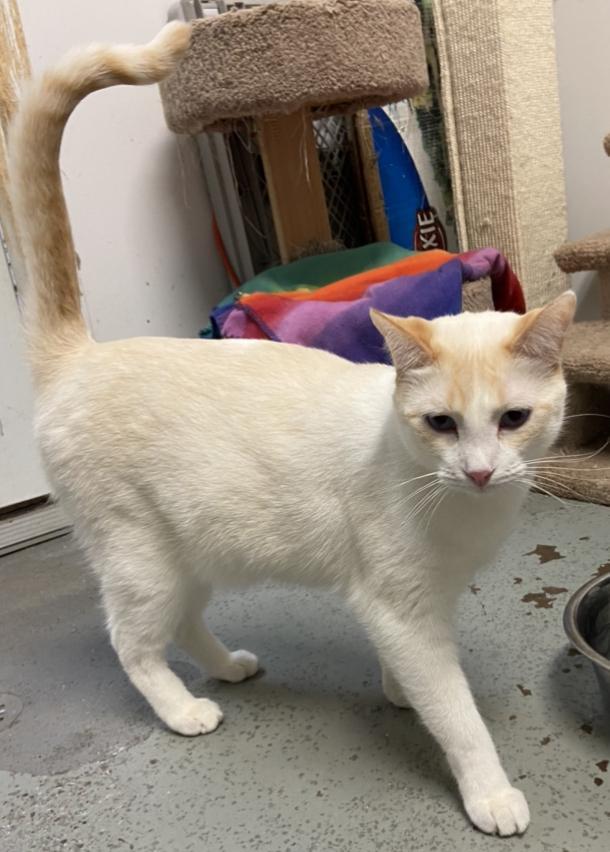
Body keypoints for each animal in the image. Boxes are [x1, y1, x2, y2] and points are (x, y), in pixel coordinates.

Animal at [11, 21, 576, 840]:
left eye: (513, 420)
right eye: (441, 423)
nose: (477, 470)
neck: (460, 510)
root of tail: (82, 354)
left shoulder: (424, 600)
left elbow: (415, 676)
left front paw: (398, 690)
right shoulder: (399, 607)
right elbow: (456, 712)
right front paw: (488, 791)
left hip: (193, 550)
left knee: (182, 624)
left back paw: (227, 667)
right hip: (140, 557)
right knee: (133, 642)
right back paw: (184, 708)